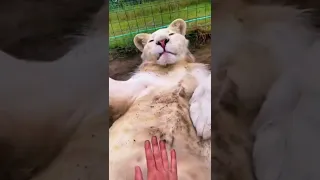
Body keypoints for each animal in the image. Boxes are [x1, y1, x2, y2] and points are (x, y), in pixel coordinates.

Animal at [109, 19, 211, 179]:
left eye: (171, 34)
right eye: (151, 40)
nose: (162, 41)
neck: (170, 68)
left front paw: (204, 121)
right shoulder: (131, 89)